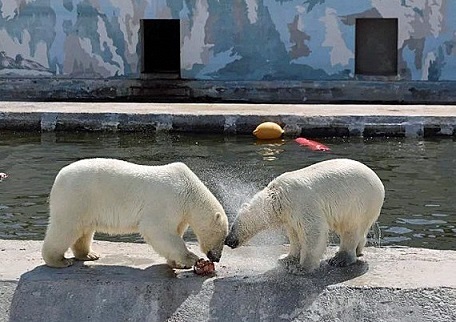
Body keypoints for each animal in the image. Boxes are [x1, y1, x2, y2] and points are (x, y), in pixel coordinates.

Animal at [41, 158, 228, 270]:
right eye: (222, 238)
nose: (217, 258)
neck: (189, 191)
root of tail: (59, 176)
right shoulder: (167, 201)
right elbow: (156, 230)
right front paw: (190, 258)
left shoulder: (179, 212)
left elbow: (174, 231)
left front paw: (178, 263)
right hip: (76, 198)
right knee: (65, 227)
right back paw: (59, 260)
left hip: (85, 204)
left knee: (83, 230)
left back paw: (89, 254)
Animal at [224, 158, 384, 272]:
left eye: (233, 226)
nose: (228, 240)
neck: (278, 197)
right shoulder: (289, 215)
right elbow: (294, 235)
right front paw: (286, 258)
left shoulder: (302, 203)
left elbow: (313, 231)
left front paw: (302, 267)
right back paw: (357, 250)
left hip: (359, 202)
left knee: (351, 228)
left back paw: (340, 259)